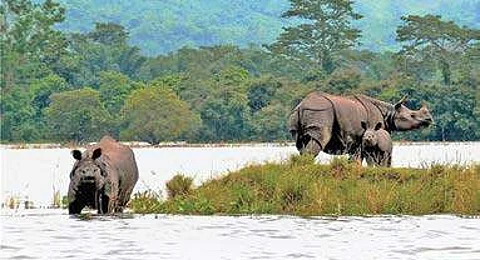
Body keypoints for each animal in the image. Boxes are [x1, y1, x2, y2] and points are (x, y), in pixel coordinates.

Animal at [288, 91, 436, 160]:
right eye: (412, 115)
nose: (429, 119)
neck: (389, 112)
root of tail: (301, 106)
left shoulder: (356, 141)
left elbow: (355, 158)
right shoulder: (368, 136)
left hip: (299, 114)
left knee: (301, 144)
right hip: (321, 112)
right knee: (319, 139)